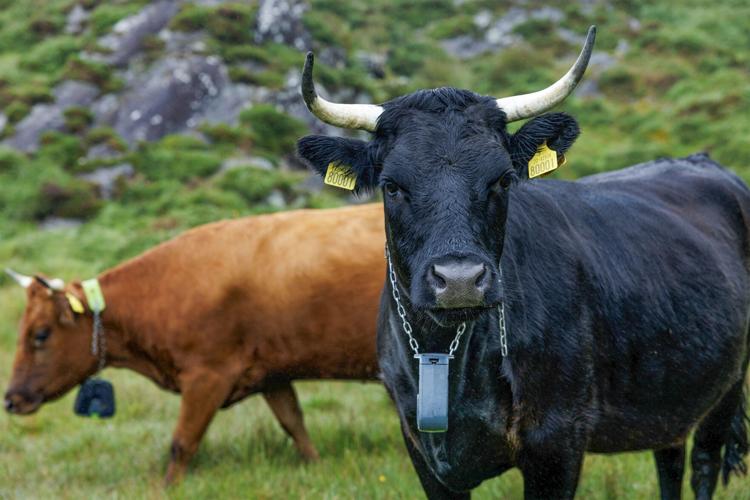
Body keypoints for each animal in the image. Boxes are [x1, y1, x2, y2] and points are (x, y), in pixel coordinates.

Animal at [3, 203, 385, 484]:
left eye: (40, 334)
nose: (10, 400)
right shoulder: (270, 373)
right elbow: (294, 424)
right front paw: (317, 466)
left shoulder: (207, 377)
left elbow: (182, 442)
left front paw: (167, 489)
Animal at [296, 26, 750, 499]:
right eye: (391, 186)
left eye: (502, 179)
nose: (460, 280)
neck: (446, 352)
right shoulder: (422, 452)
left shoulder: (557, 441)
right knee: (670, 459)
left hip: (729, 384)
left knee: (703, 463)